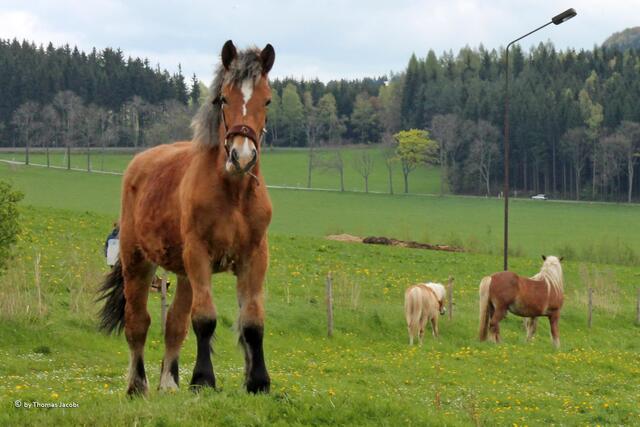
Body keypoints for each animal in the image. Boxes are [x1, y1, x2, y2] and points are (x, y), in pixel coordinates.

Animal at [97, 40, 276, 396]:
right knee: (138, 323)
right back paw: (138, 385)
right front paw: (203, 379)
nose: (242, 156)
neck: (233, 193)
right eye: (224, 98)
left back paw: (169, 383)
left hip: (182, 275)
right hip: (137, 262)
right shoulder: (199, 254)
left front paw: (258, 382)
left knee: (174, 325)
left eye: (266, 99)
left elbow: (252, 321)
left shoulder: (254, 256)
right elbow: (204, 319)